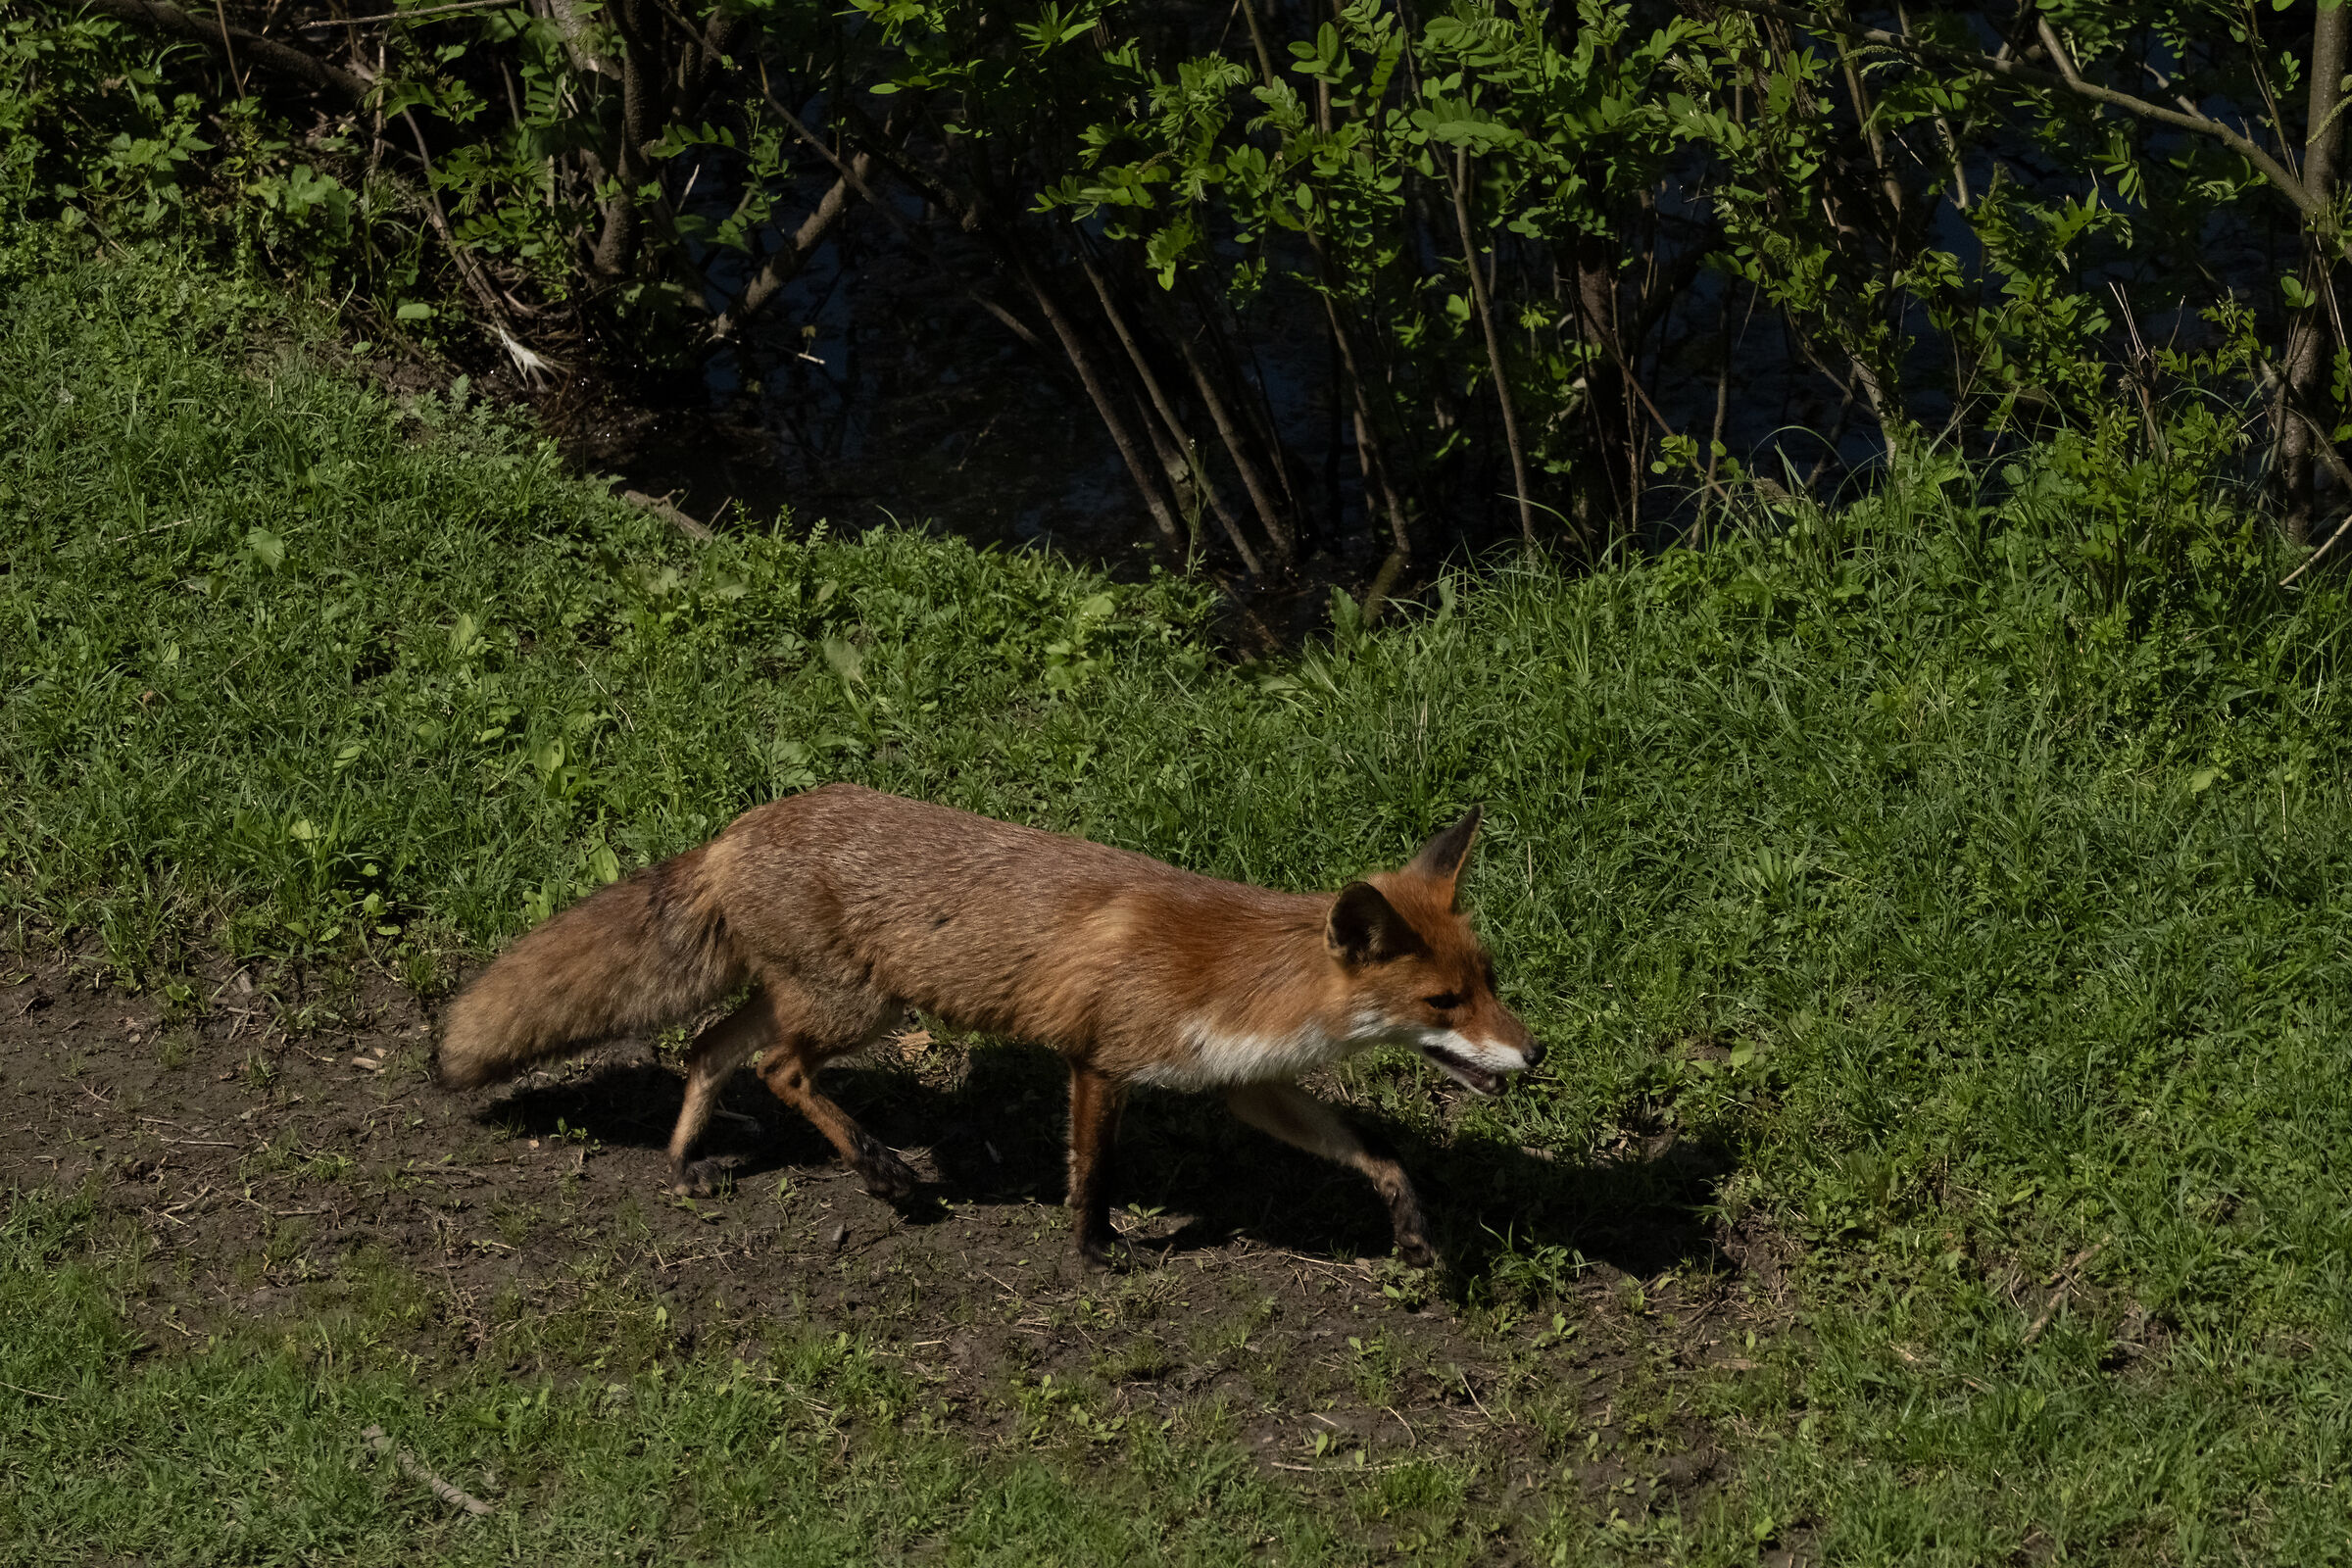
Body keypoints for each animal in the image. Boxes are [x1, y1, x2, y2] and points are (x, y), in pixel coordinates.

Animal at [436, 784, 1541, 1266]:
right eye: (1444, 1003)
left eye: (1489, 981)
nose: (1535, 1054)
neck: (1240, 973)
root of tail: (736, 827)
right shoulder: (1101, 1060)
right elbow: (1092, 1173)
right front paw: (1094, 1252)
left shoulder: (1247, 1084)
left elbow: (1374, 1151)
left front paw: (1410, 1225)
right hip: (857, 1006)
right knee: (783, 1073)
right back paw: (885, 1174)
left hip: (803, 995)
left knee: (704, 1051)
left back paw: (684, 1164)